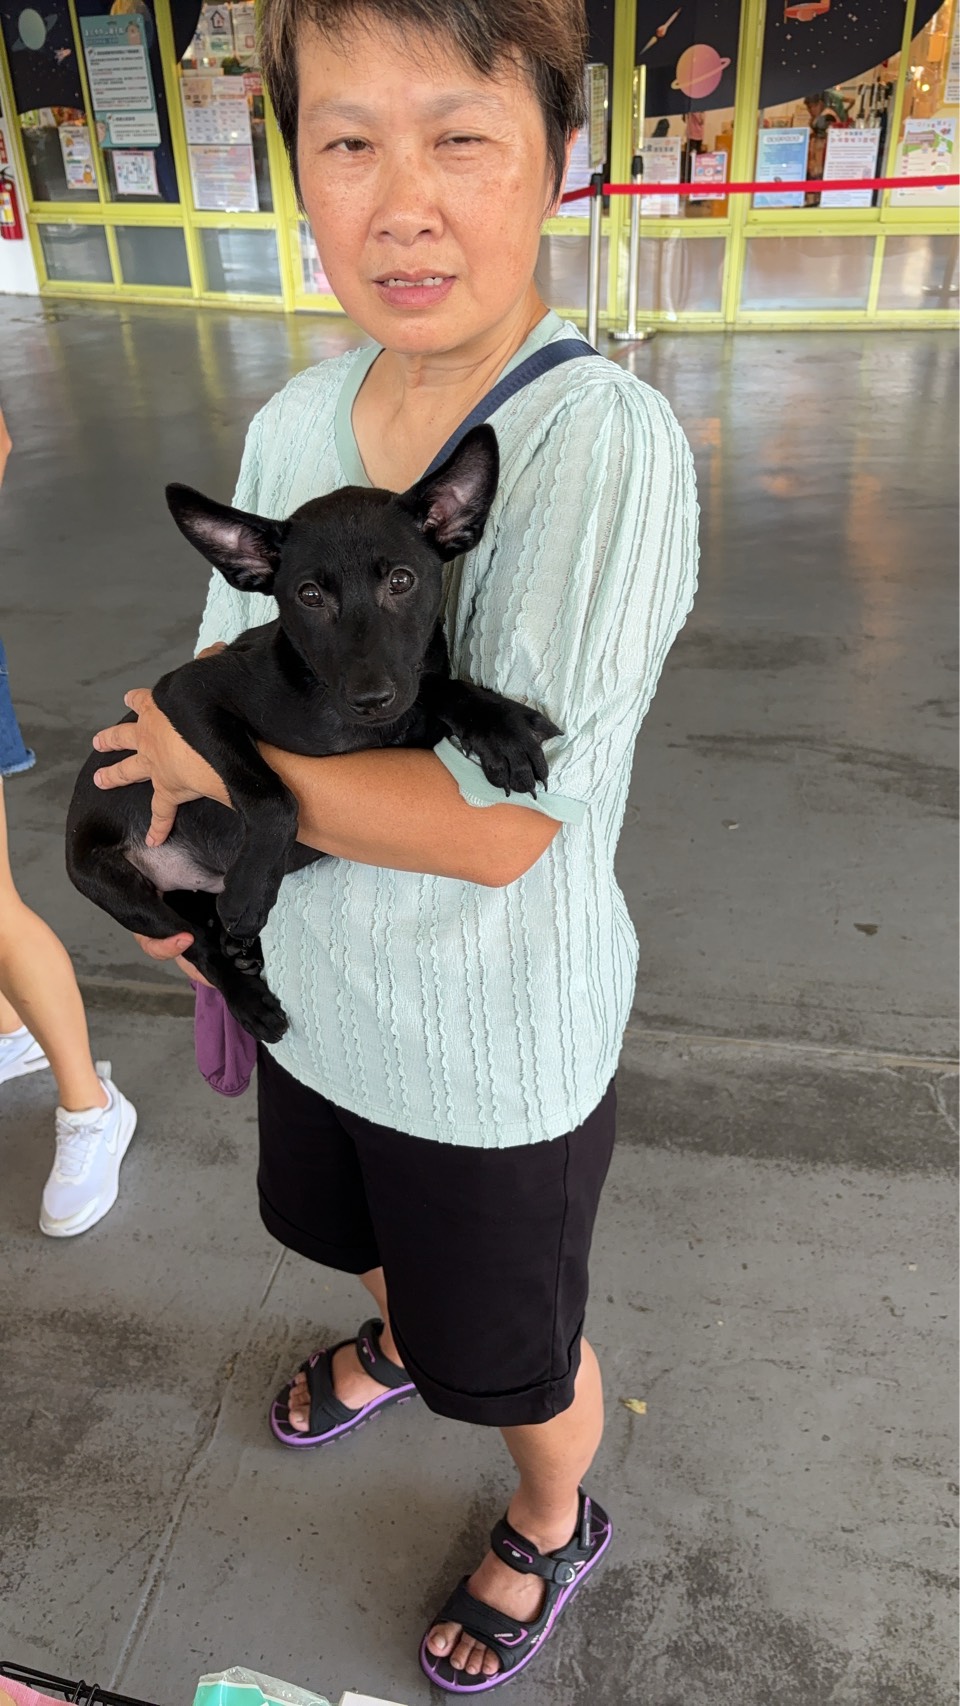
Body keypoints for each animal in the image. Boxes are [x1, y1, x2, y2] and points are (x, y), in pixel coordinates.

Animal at [66, 426, 560, 1044]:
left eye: (401, 581)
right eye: (308, 596)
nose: (370, 699)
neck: (332, 707)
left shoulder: (407, 710)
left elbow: (437, 688)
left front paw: (501, 725)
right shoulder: (186, 692)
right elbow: (271, 793)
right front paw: (251, 890)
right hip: (111, 883)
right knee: (197, 942)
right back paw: (246, 989)